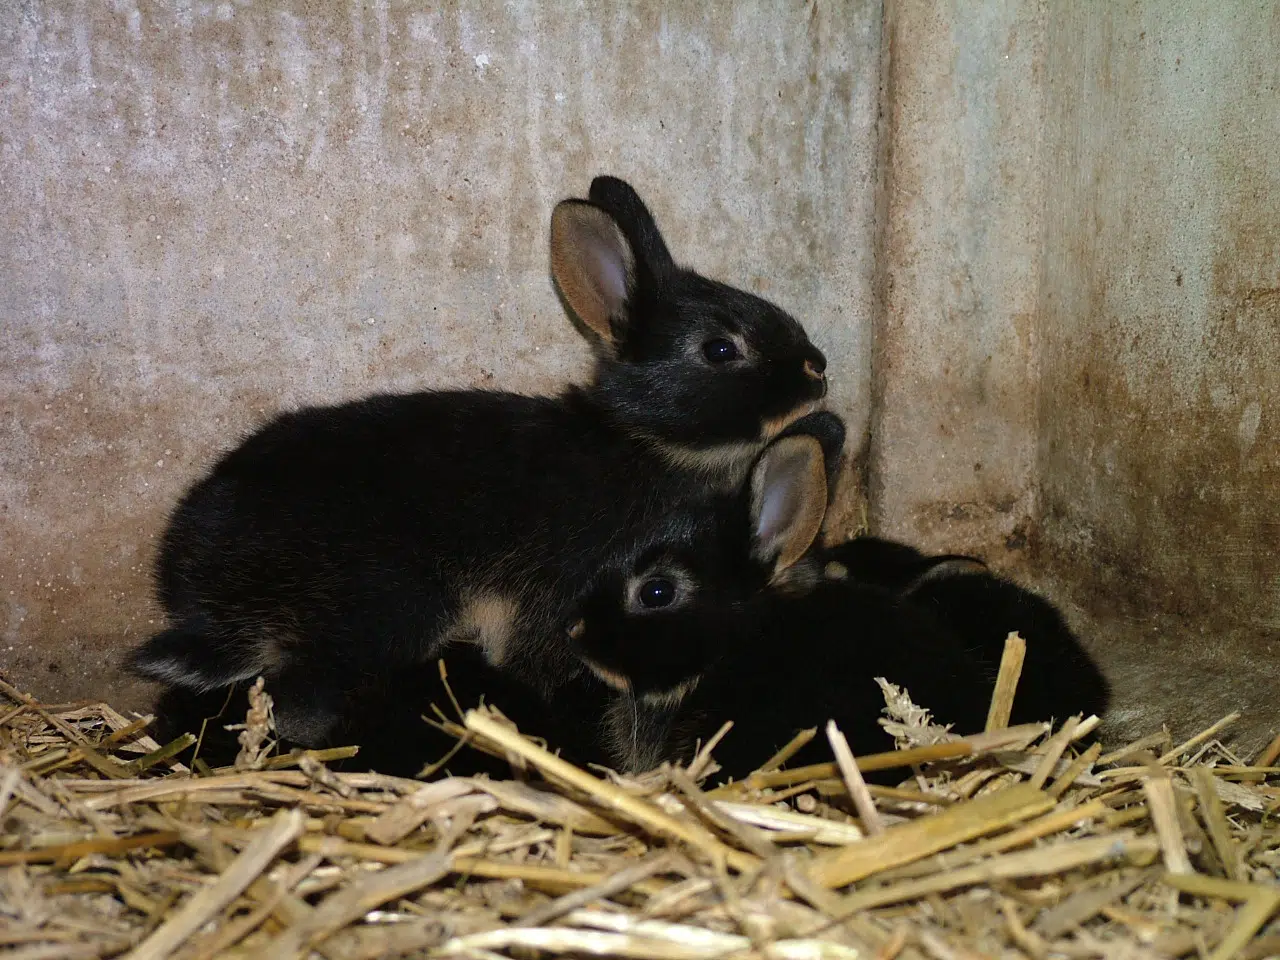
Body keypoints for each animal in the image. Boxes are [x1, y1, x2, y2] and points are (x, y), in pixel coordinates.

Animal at [126, 175, 831, 748]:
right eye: (720, 349)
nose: (818, 367)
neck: (647, 439)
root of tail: (200, 596)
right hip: (388, 608)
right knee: (303, 702)